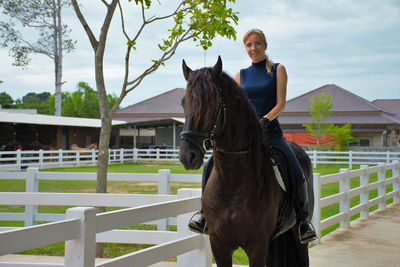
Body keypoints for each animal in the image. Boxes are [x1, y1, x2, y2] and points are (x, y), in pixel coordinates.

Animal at [179, 57, 312, 267]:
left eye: (211, 102)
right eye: (184, 103)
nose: (187, 156)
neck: (232, 180)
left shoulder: (257, 246)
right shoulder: (219, 244)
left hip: (298, 236)